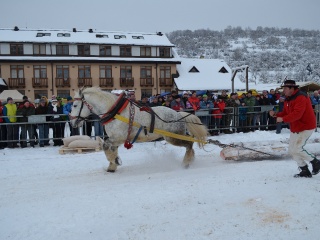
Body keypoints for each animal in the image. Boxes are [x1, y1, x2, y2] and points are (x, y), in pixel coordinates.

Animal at [69, 87, 208, 172]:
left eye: (75, 105)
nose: (72, 122)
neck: (116, 112)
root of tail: (179, 114)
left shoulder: (118, 138)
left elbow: (105, 146)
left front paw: (113, 161)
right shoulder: (116, 139)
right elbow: (110, 148)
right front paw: (113, 164)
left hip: (173, 137)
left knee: (189, 144)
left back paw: (186, 162)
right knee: (190, 144)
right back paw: (190, 160)